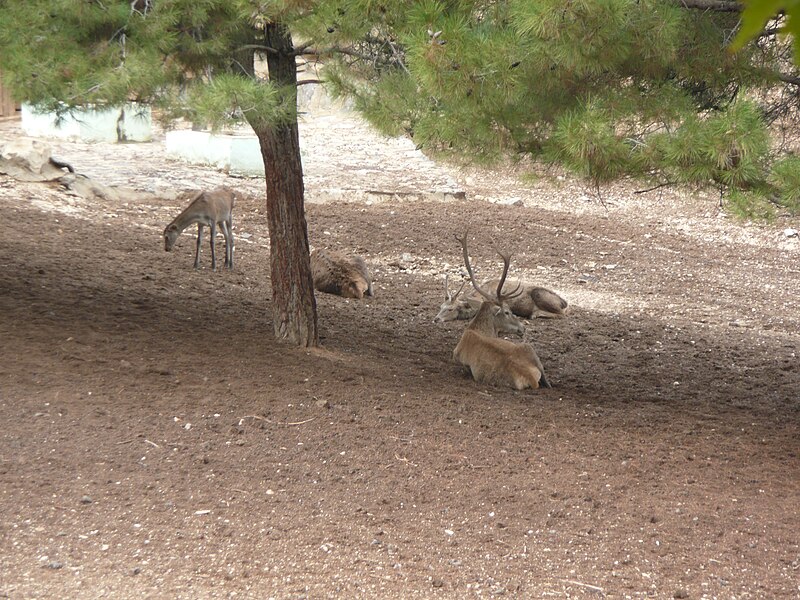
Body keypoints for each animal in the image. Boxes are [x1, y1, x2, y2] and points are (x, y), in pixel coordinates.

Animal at [434, 276, 564, 324]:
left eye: (450, 309)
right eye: (440, 307)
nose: (436, 319)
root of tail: (564, 302)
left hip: (540, 294)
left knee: (561, 314)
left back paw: (535, 314)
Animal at [450, 232, 552, 392]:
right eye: (507, 312)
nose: (523, 328)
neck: (476, 330)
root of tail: (529, 376)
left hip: (527, 348)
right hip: (527, 347)